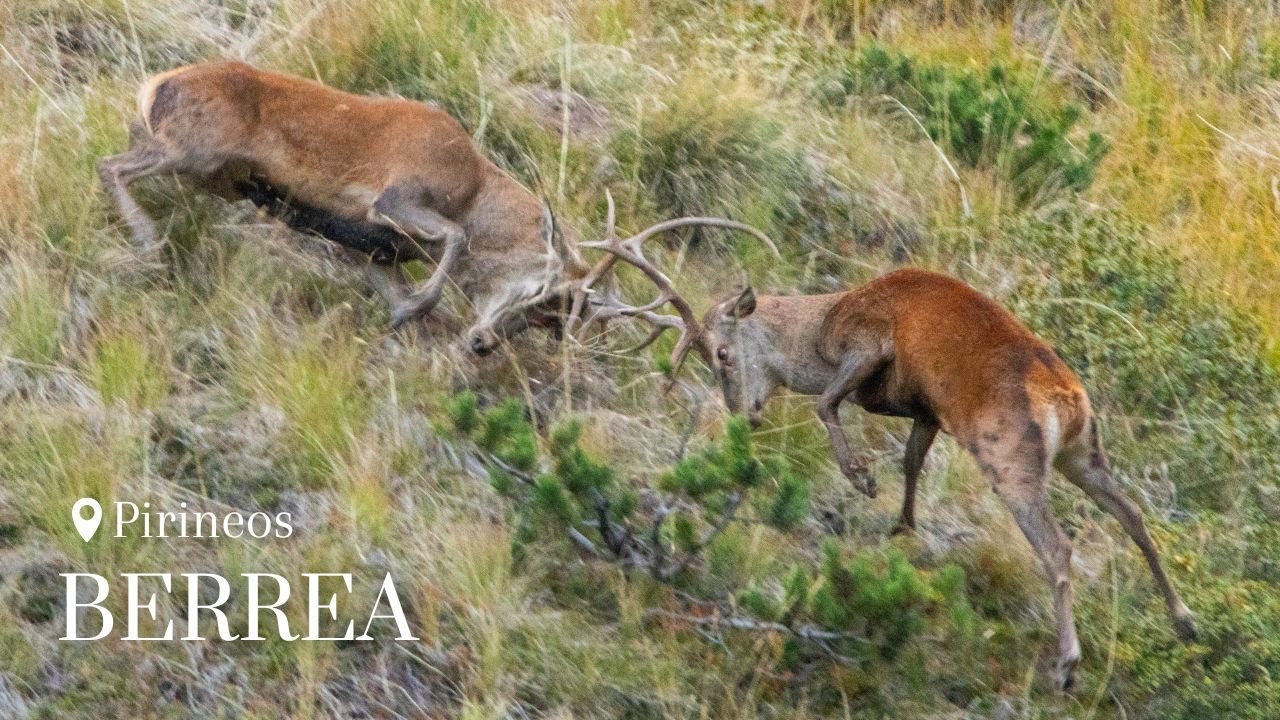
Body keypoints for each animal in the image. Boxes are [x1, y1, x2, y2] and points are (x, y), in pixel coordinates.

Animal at [98, 60, 777, 352]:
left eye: (550, 321)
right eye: (545, 295)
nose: (483, 343)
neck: (473, 186)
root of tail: (156, 84)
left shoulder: (376, 247)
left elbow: (394, 281)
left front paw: (400, 317)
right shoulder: (394, 197)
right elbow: (450, 241)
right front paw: (416, 308)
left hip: (198, 162)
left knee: (120, 153)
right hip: (196, 149)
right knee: (111, 164)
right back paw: (147, 242)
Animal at [606, 266, 1197, 691]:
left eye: (723, 355)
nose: (742, 418)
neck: (821, 329)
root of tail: (1064, 398)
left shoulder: (869, 343)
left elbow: (826, 403)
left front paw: (860, 477)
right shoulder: (926, 410)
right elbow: (910, 461)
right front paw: (902, 527)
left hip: (1010, 459)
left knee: (1059, 545)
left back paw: (1068, 663)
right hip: (1083, 452)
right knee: (1133, 515)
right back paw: (1185, 620)